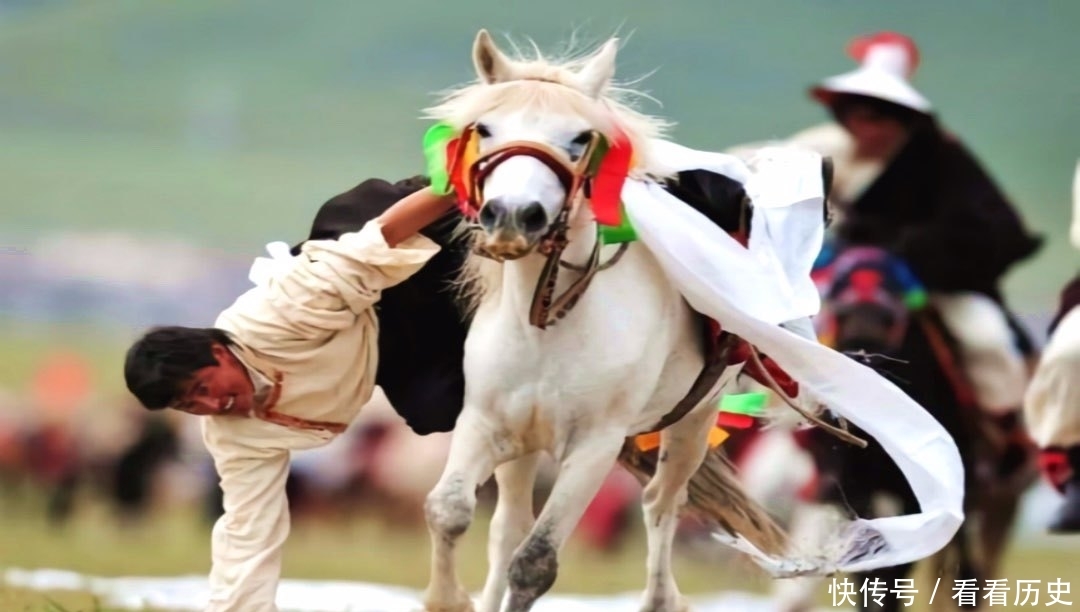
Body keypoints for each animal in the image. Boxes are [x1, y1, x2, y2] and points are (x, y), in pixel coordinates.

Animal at [416, 31, 799, 612]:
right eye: (484, 128)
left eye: (579, 138)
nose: (513, 216)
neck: (548, 324)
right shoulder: (484, 423)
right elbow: (450, 512)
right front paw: (449, 598)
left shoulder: (593, 448)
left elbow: (535, 562)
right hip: (524, 447)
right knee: (506, 527)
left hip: (694, 422)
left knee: (662, 504)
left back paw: (661, 597)